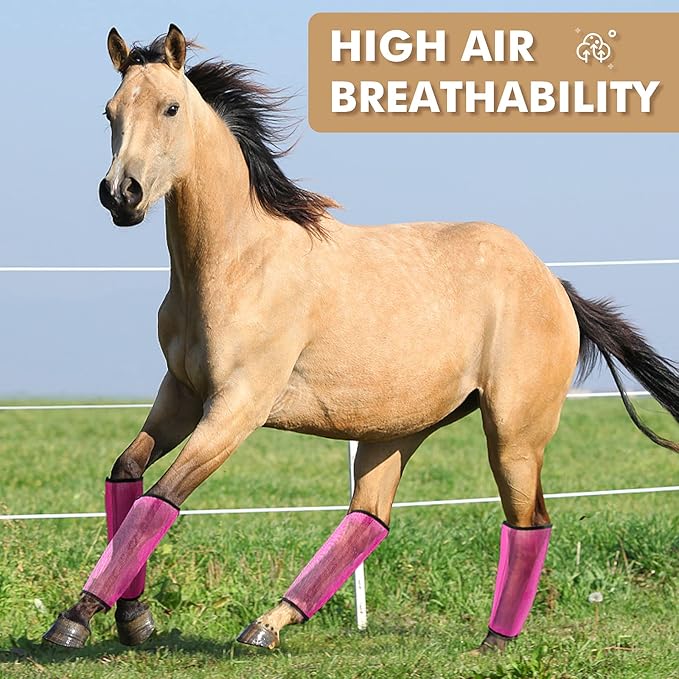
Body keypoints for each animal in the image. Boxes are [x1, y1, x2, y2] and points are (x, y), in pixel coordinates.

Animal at [43, 25, 679, 653]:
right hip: (396, 431)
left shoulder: (236, 409)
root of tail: (553, 283)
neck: (237, 263)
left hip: (513, 433)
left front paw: (76, 618)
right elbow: (128, 475)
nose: (121, 194)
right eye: (110, 111)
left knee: (529, 522)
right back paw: (268, 625)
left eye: (171, 107)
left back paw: (494, 644)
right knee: (370, 519)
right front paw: (133, 617)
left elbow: (161, 499)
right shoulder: (180, 395)